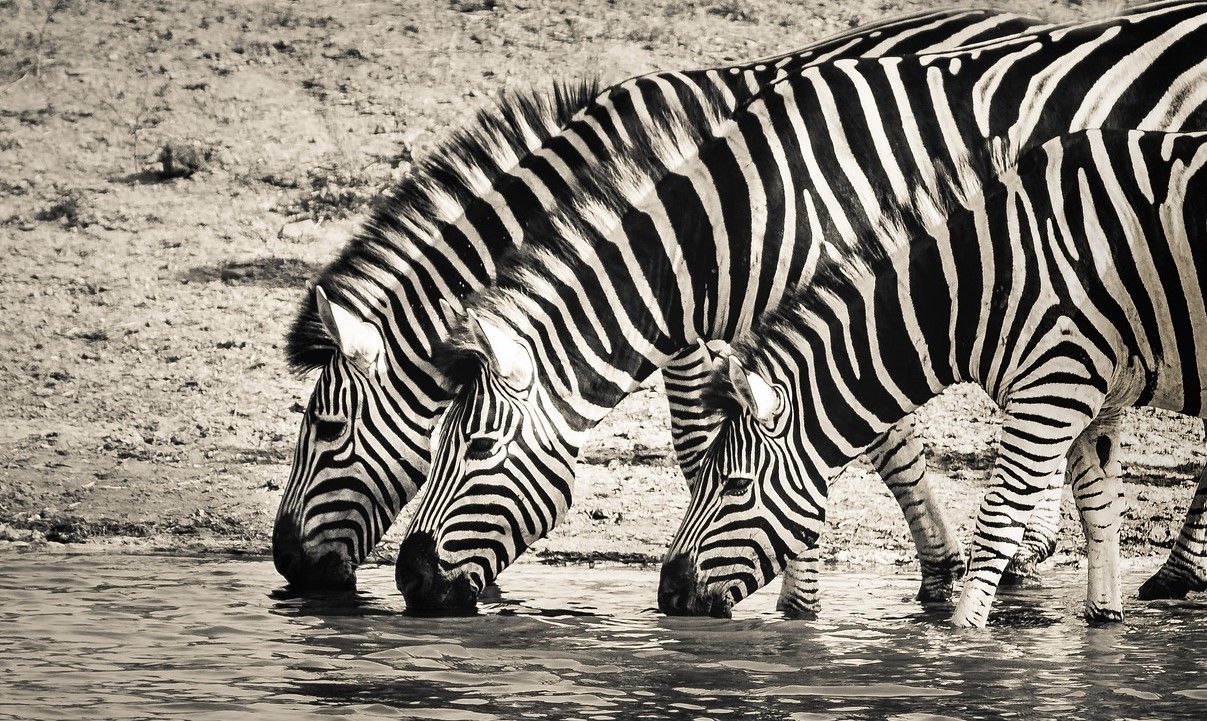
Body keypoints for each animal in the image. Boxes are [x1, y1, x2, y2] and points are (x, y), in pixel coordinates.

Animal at [666, 128, 1207, 623]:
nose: (667, 594)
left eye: (736, 488)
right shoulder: (1096, 399)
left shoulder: (1052, 388)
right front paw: (1103, 625)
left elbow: (996, 522)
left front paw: (961, 637)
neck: (981, 283)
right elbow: (1099, 513)